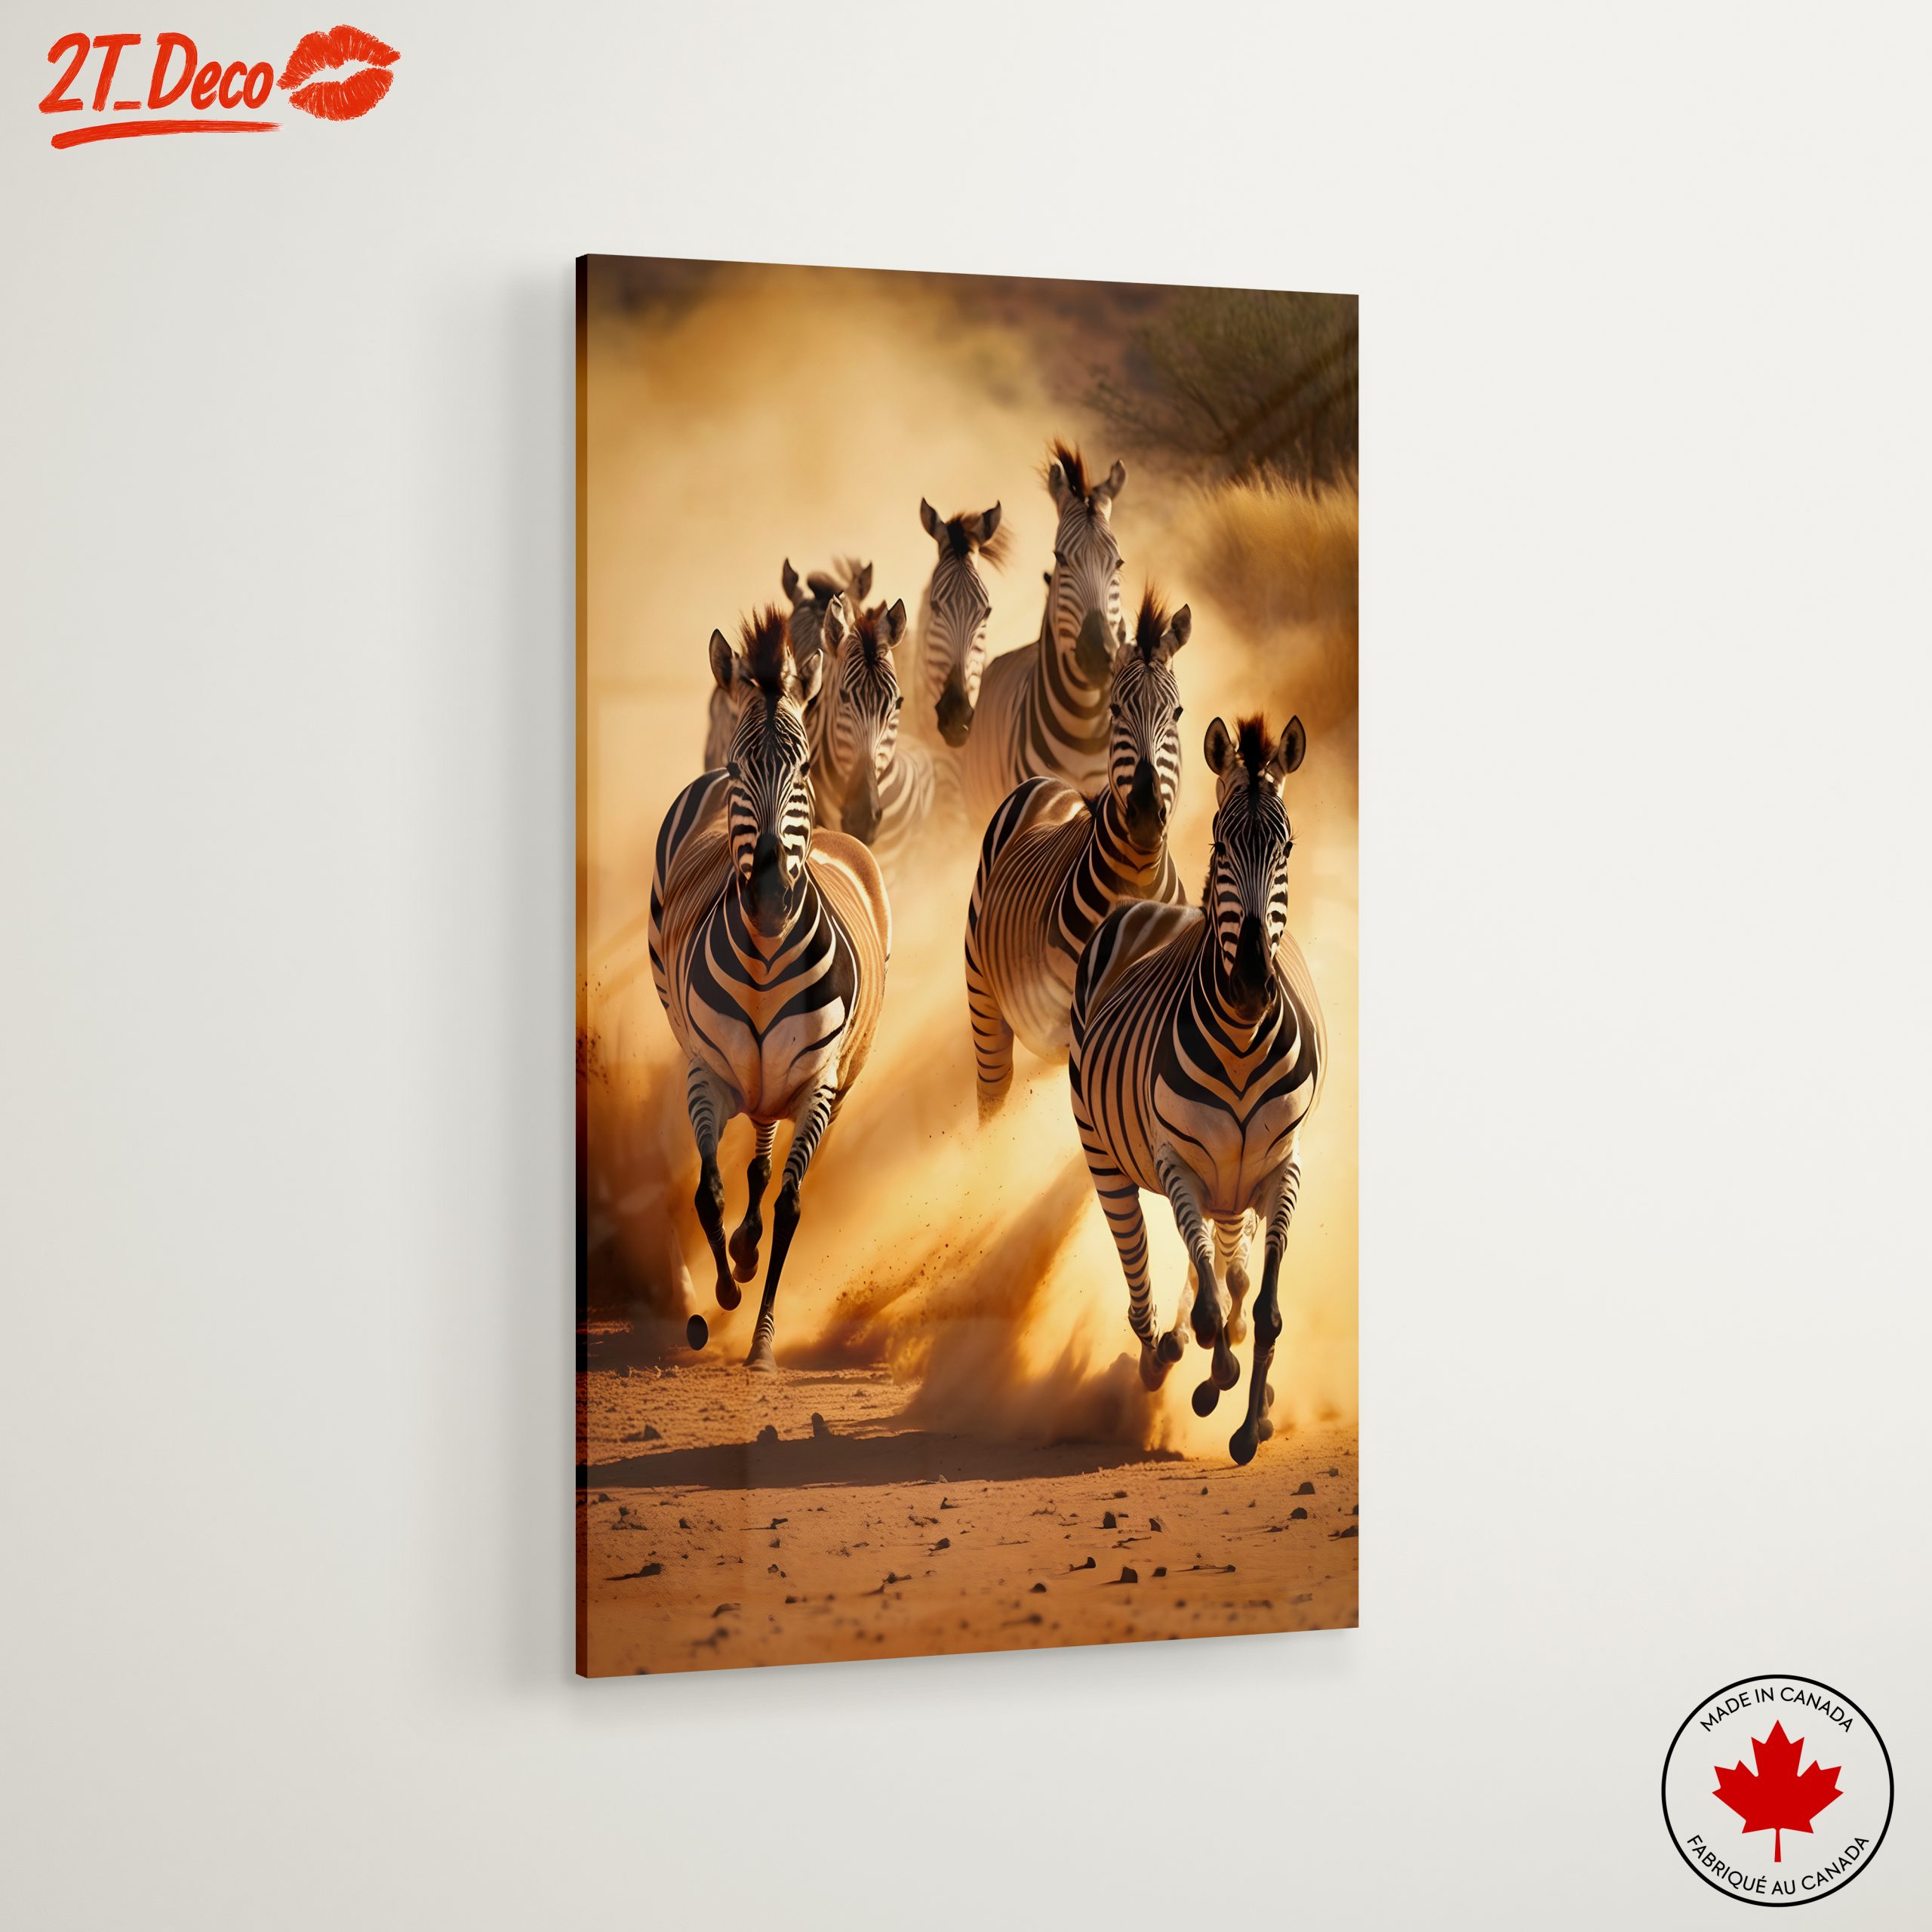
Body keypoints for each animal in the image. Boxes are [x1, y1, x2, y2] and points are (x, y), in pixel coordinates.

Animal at [650, 606, 892, 1369]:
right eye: (735, 768)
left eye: (804, 767)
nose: (768, 900)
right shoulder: (706, 1071)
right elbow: (708, 1190)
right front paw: (725, 1294)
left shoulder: (816, 1084)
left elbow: (788, 1203)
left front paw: (761, 1343)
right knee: (750, 1157)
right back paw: (740, 1254)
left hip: (829, 1081)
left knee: (767, 1162)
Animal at [963, 589, 1192, 1118]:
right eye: (1115, 710)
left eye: (1176, 714)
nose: (1145, 815)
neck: (1139, 875)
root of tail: (1049, 784)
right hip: (984, 997)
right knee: (994, 1092)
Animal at [1067, 713, 1323, 1465]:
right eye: (1219, 842)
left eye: (1286, 846)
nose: (1250, 983)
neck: (1240, 1038)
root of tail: (1155, 906)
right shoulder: (1178, 1163)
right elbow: (1212, 1309)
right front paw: (1220, 1379)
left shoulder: (1281, 1167)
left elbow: (1262, 1309)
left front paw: (1250, 1424)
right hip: (1110, 1161)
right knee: (1145, 1275)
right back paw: (1162, 1357)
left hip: (1232, 1181)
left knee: (1229, 1270)